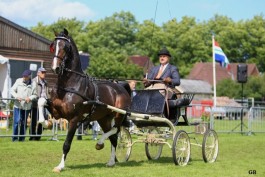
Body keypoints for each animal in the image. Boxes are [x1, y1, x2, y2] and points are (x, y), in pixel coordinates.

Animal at [48, 28, 131, 173]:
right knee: (113, 137)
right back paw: (111, 161)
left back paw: (100, 144)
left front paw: (60, 166)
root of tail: (121, 87)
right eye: (53, 46)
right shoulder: (57, 113)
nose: (55, 68)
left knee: (115, 130)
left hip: (119, 115)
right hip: (103, 118)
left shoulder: (74, 119)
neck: (70, 85)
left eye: (65, 47)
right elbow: (44, 103)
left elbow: (67, 143)